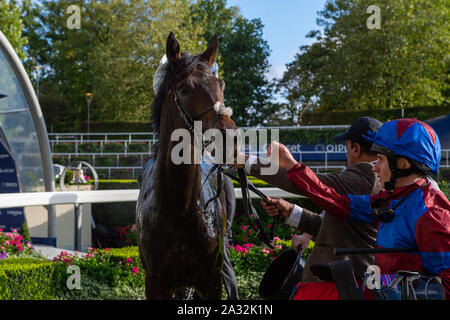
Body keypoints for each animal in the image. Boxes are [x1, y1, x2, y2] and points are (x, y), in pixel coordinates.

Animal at [135, 32, 237, 300]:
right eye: (184, 89)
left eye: (221, 84)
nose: (229, 138)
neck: (179, 210)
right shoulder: (155, 283)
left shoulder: (211, 281)